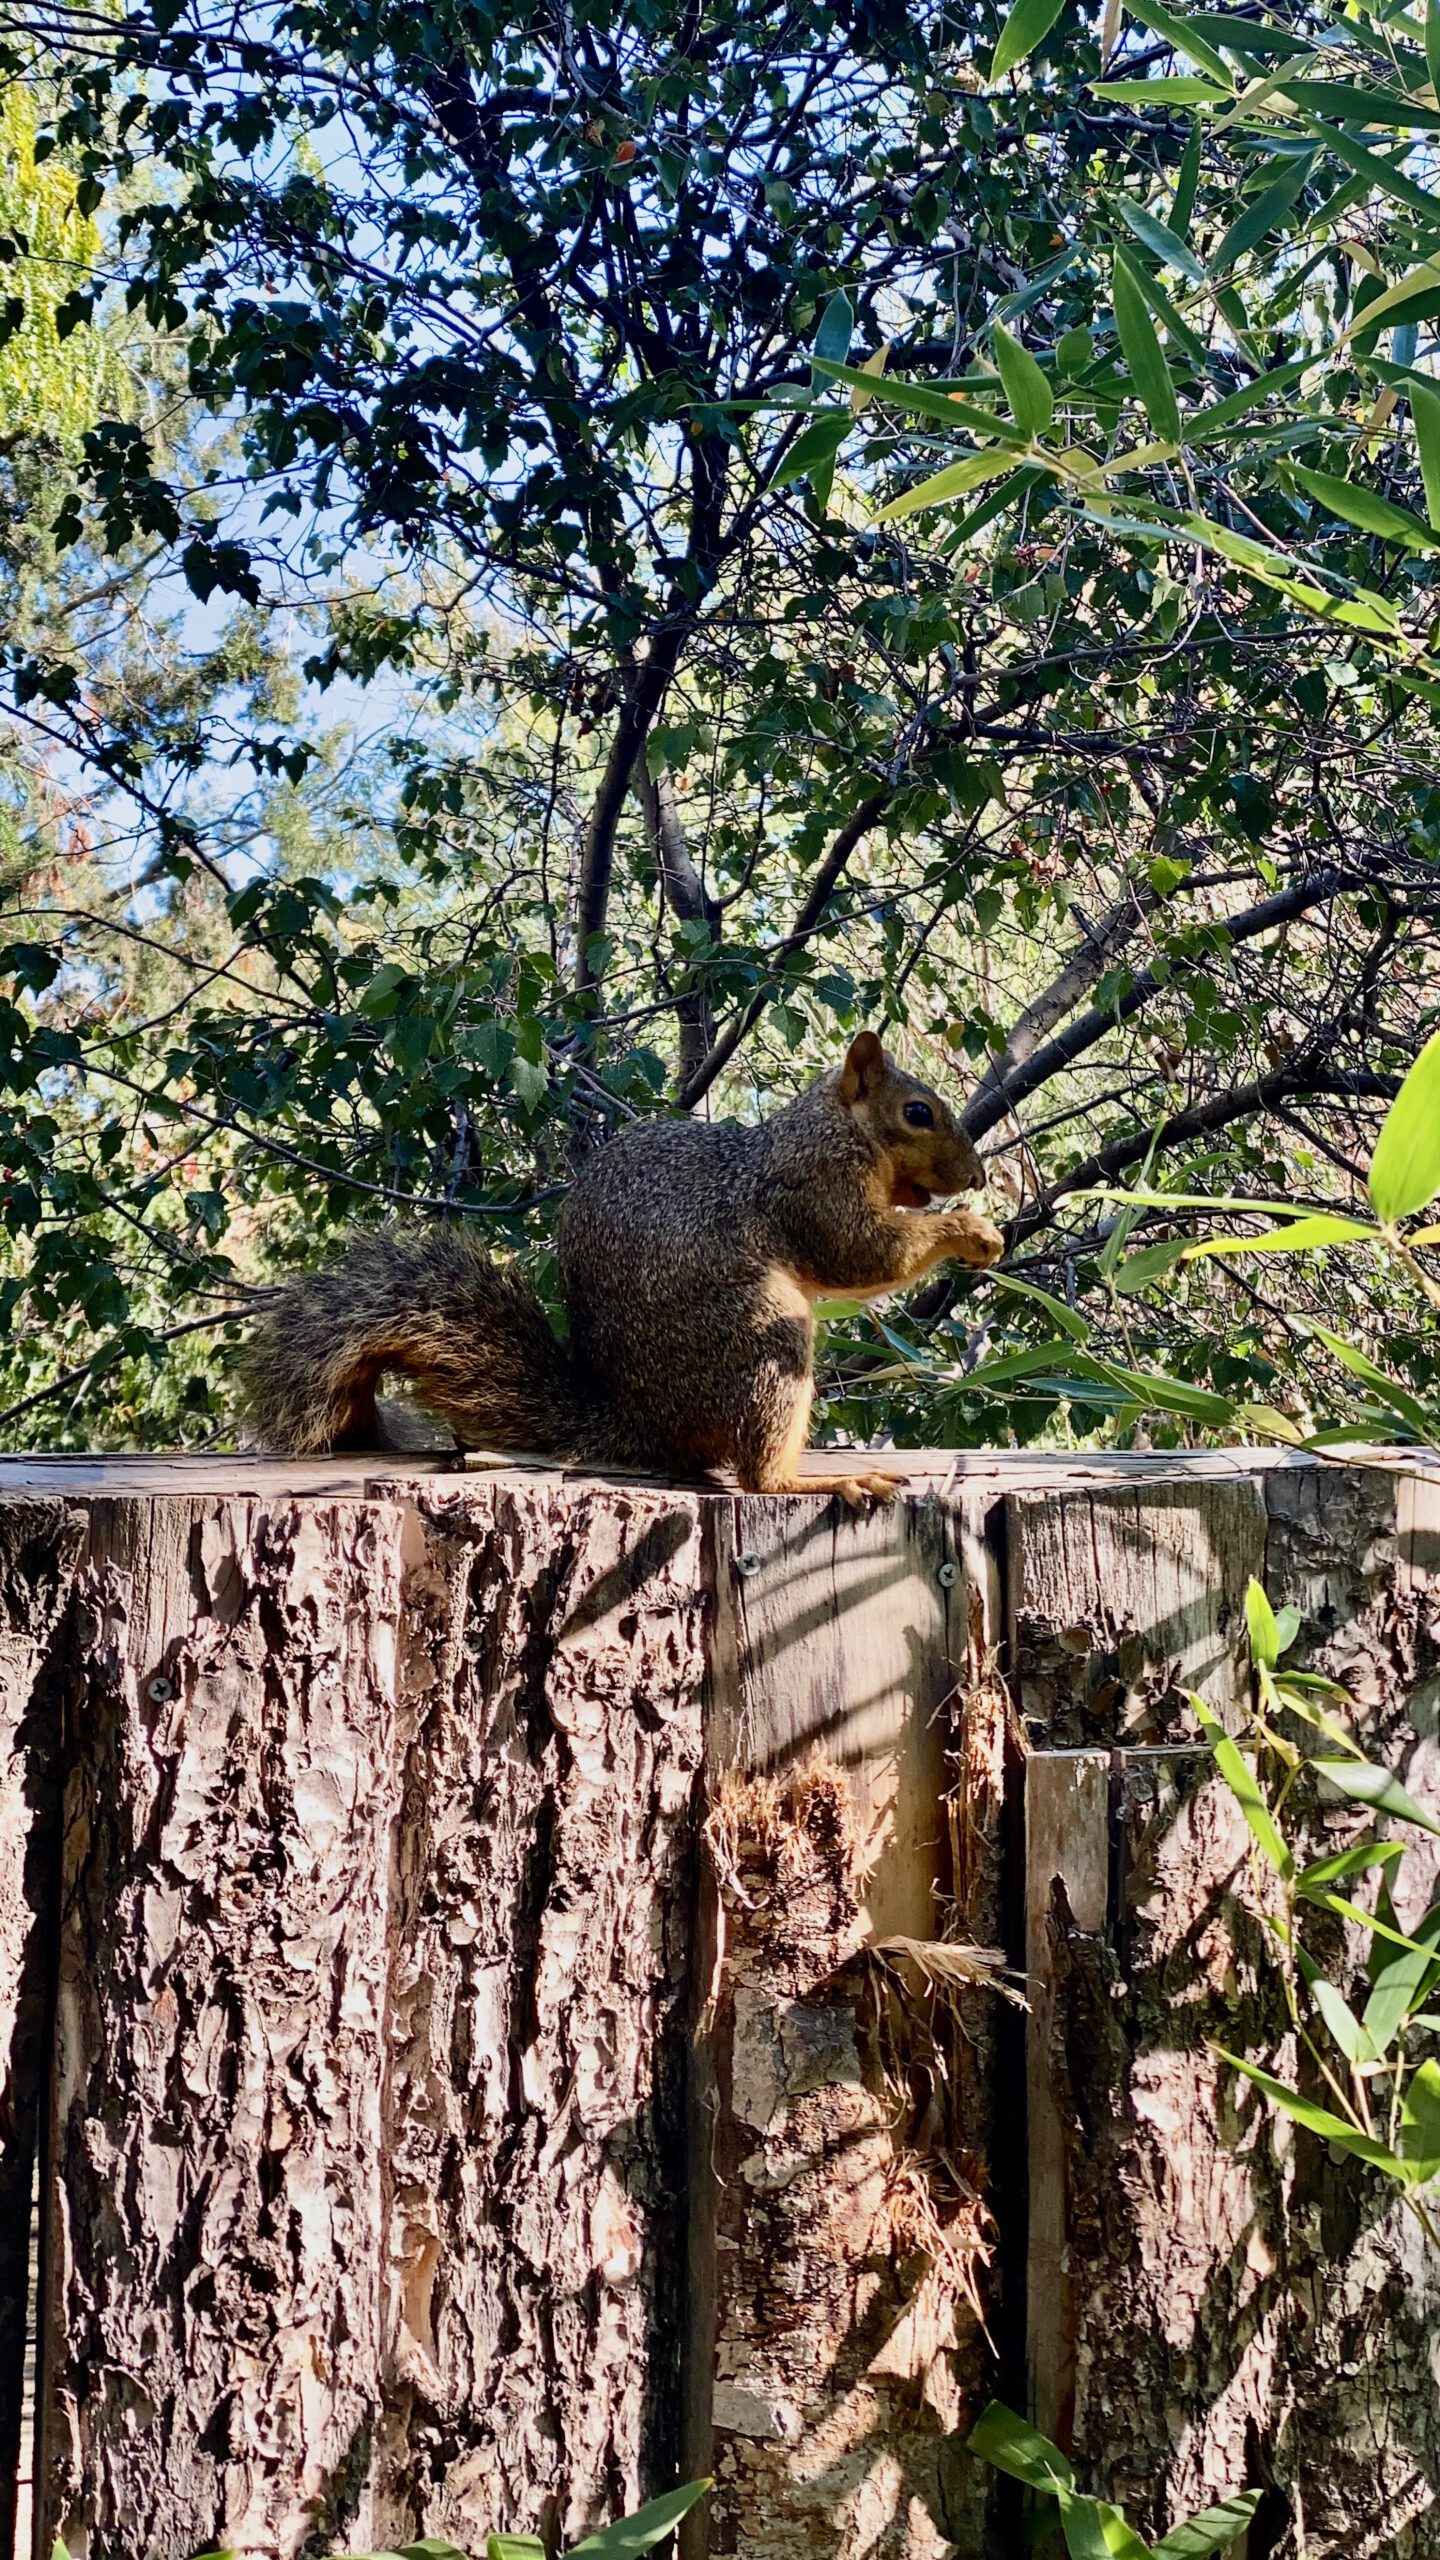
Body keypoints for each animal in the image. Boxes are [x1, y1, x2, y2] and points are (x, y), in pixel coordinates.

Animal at [242, 1031, 1004, 1505]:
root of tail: (635, 1422)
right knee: (755, 1475)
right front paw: (970, 1231)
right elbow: (860, 1252)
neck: (835, 1130)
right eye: (917, 1113)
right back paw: (818, 1482)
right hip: (764, 1333)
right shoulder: (809, 1190)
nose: (976, 1175)